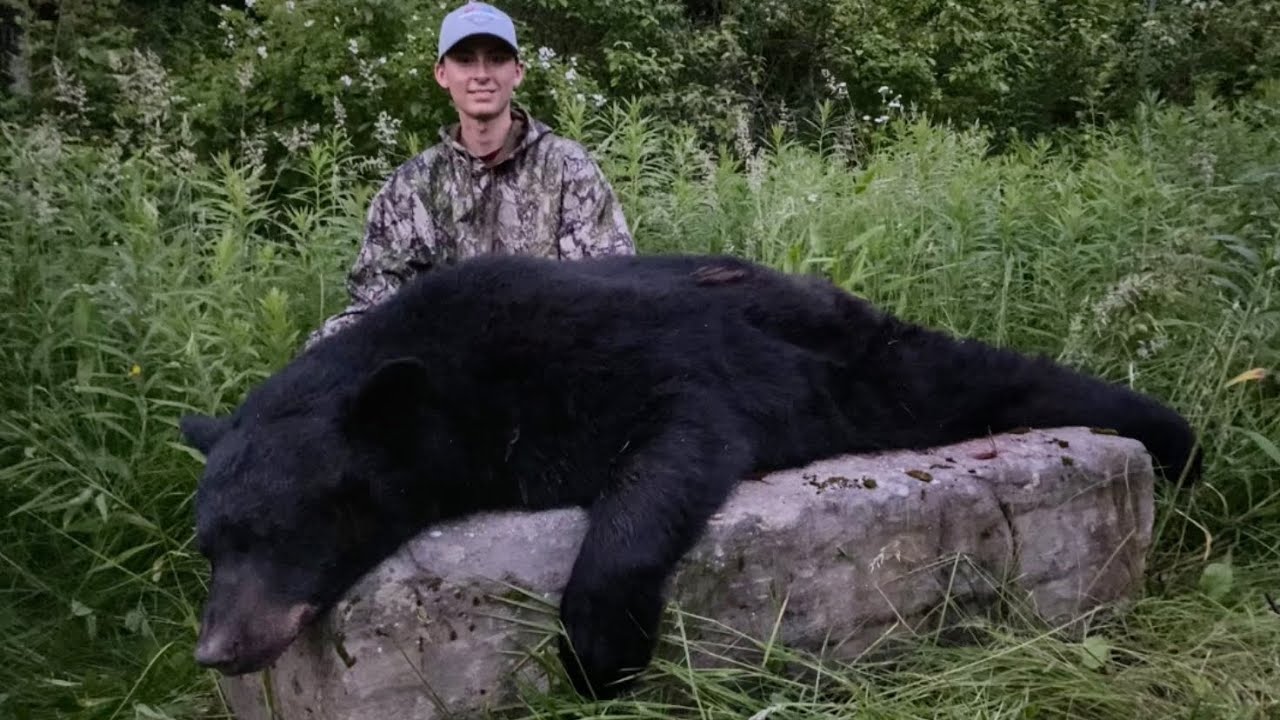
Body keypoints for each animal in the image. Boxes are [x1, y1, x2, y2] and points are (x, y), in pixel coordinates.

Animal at [179, 252, 1201, 699]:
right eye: (209, 544)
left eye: (282, 529)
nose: (218, 649)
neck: (458, 382)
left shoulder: (630, 356)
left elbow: (682, 439)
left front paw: (600, 648)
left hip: (868, 362)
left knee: (983, 376)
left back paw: (1178, 442)